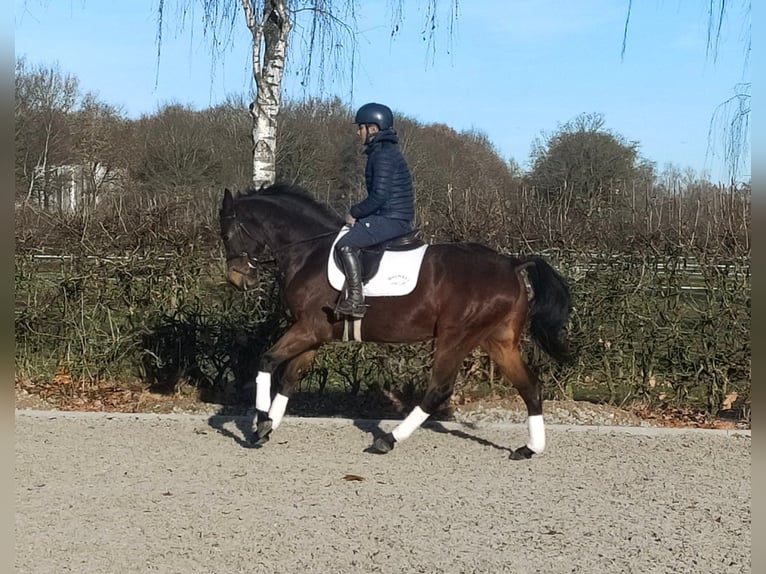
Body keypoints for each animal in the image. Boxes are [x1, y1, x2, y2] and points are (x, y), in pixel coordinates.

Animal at [219, 182, 572, 462]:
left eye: (228, 233)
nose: (238, 280)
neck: (309, 252)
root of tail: (512, 264)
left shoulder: (308, 328)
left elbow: (267, 361)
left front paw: (259, 423)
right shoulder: (314, 333)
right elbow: (290, 376)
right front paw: (268, 425)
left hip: (456, 336)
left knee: (438, 390)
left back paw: (387, 440)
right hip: (498, 340)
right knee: (530, 387)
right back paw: (529, 449)